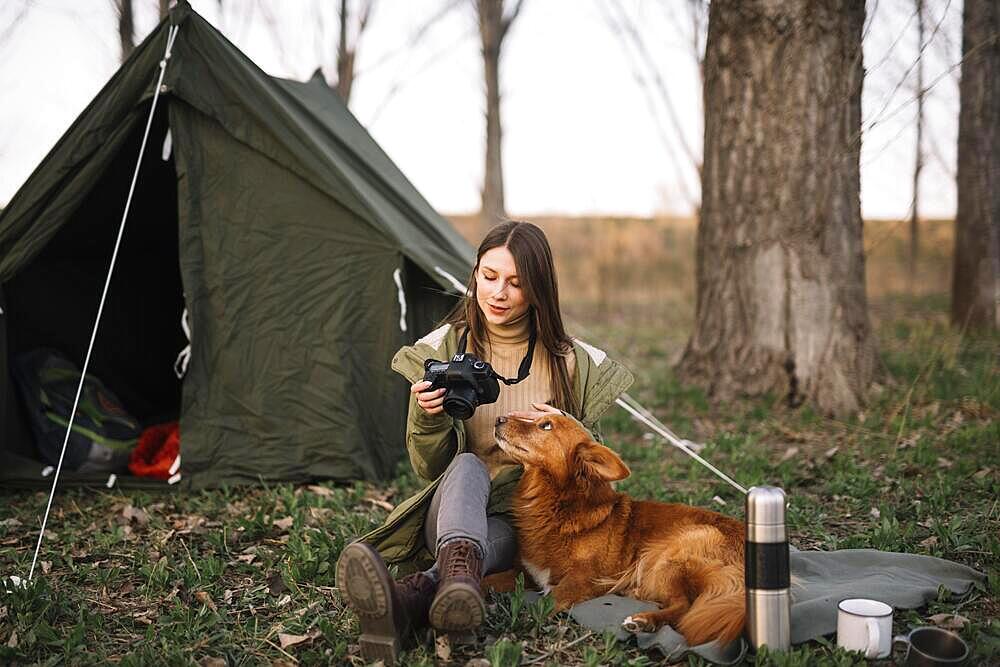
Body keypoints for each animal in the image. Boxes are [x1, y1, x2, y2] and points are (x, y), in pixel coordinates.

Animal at [496, 412, 748, 648]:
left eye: (546, 425)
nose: (498, 418)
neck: (556, 505)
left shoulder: (585, 577)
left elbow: (548, 600)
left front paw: (524, 621)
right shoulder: (525, 572)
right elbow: (493, 579)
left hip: (670, 553)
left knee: (684, 606)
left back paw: (644, 620)